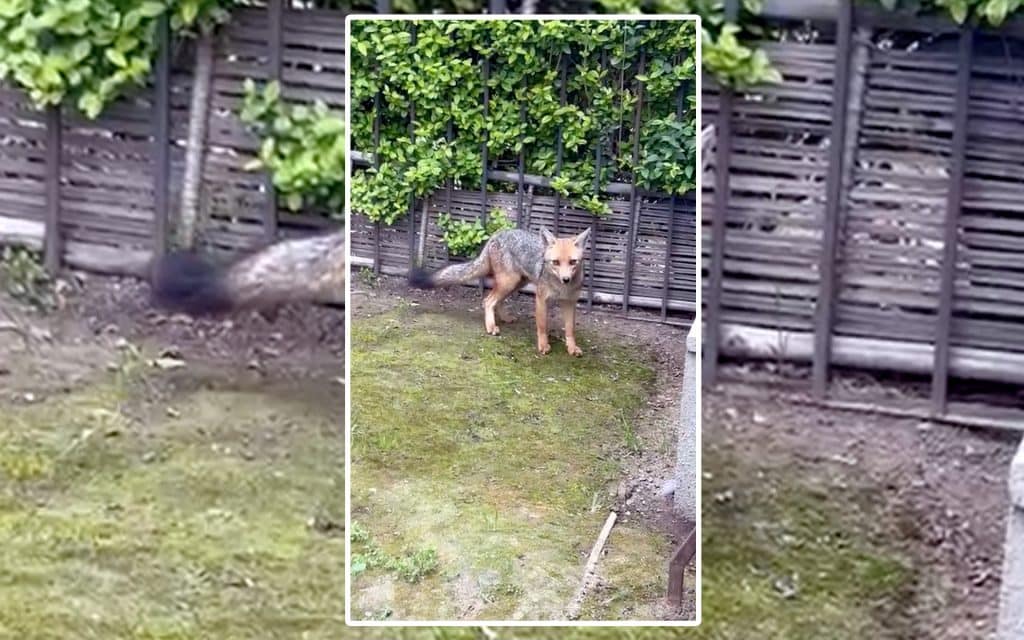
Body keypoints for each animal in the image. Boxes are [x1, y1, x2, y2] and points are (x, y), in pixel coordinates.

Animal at [408, 227, 591, 356]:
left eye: (573, 262)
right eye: (556, 262)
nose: (566, 279)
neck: (562, 289)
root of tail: (496, 234)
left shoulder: (570, 303)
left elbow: (570, 329)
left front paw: (572, 348)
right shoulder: (541, 298)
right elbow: (542, 325)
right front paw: (543, 345)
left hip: (516, 283)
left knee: (498, 301)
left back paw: (504, 318)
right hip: (509, 282)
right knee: (488, 301)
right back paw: (491, 326)